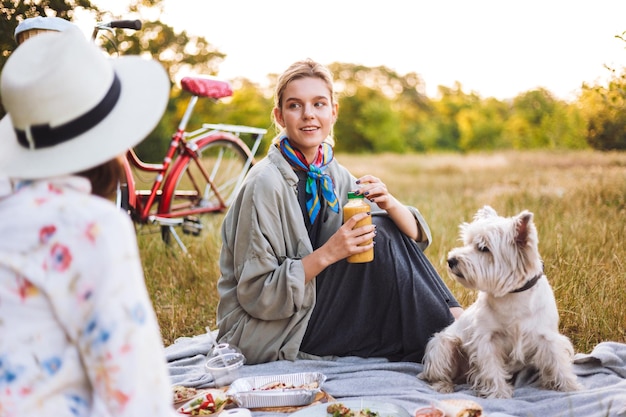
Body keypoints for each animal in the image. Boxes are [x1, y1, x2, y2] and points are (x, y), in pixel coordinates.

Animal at [416, 206, 576, 398]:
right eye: (468, 242)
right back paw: (444, 386)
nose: (451, 260)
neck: (511, 295)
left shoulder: (546, 336)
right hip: (443, 346)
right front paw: (499, 394)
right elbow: (491, 368)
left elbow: (558, 362)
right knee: (438, 373)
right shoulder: (486, 339)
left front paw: (570, 387)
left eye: (483, 248)